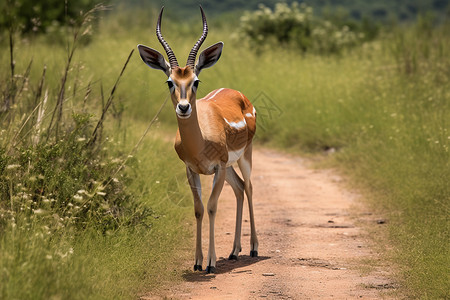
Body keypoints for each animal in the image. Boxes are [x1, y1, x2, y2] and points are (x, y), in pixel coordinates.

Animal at [136, 6, 256, 274]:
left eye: (196, 81)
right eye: (170, 81)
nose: (183, 107)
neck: (200, 141)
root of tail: (239, 94)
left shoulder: (217, 167)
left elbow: (212, 207)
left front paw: (211, 263)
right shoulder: (191, 170)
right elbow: (199, 209)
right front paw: (198, 261)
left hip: (245, 155)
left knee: (249, 187)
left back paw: (254, 248)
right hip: (230, 166)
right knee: (239, 189)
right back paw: (234, 252)